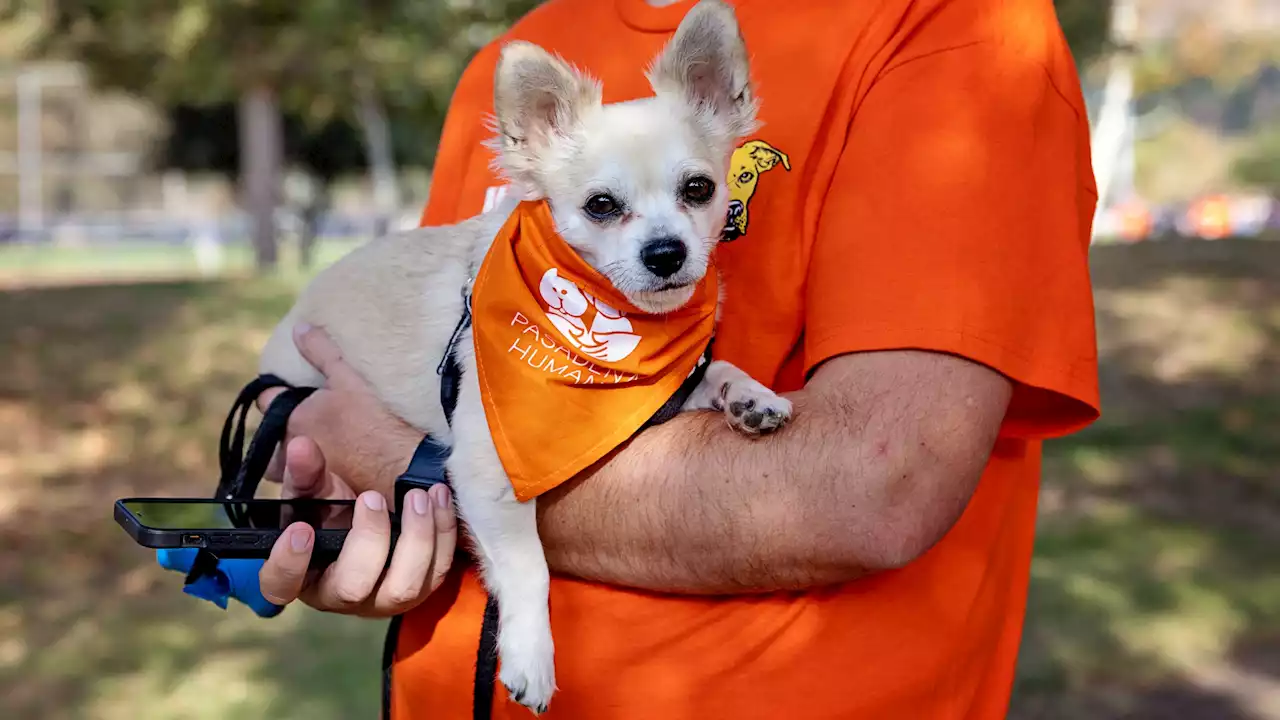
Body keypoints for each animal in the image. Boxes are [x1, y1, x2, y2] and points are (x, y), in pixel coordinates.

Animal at [257, 0, 788, 707]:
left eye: (699, 189)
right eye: (601, 206)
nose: (666, 252)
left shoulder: (665, 393)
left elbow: (716, 369)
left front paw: (750, 395)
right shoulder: (488, 472)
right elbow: (528, 565)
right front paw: (531, 654)